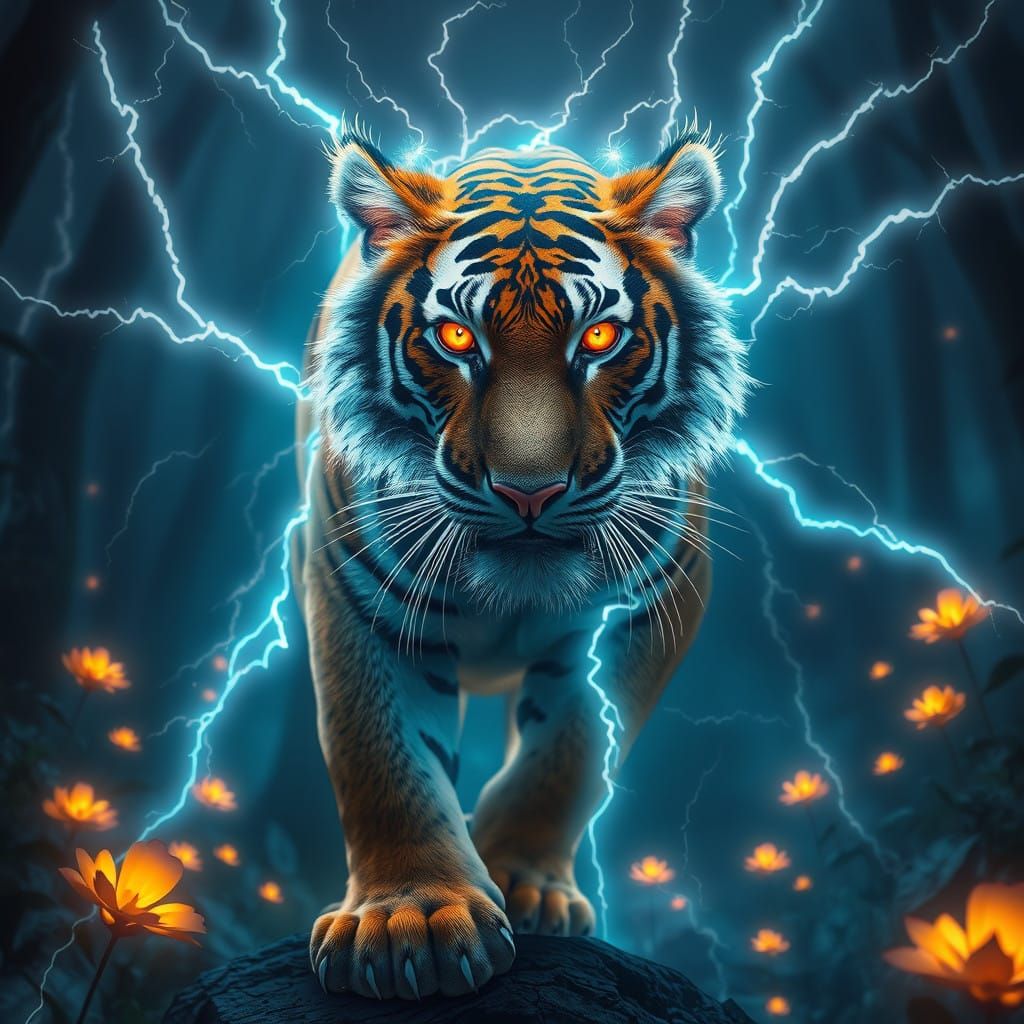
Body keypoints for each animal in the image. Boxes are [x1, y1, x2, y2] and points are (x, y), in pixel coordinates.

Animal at [295, 125, 748, 1000]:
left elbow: (571, 751)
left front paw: (520, 878)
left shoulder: (656, 598)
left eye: (599, 337)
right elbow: (379, 751)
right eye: (457, 338)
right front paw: (411, 919)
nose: (528, 491)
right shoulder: (352, 586)